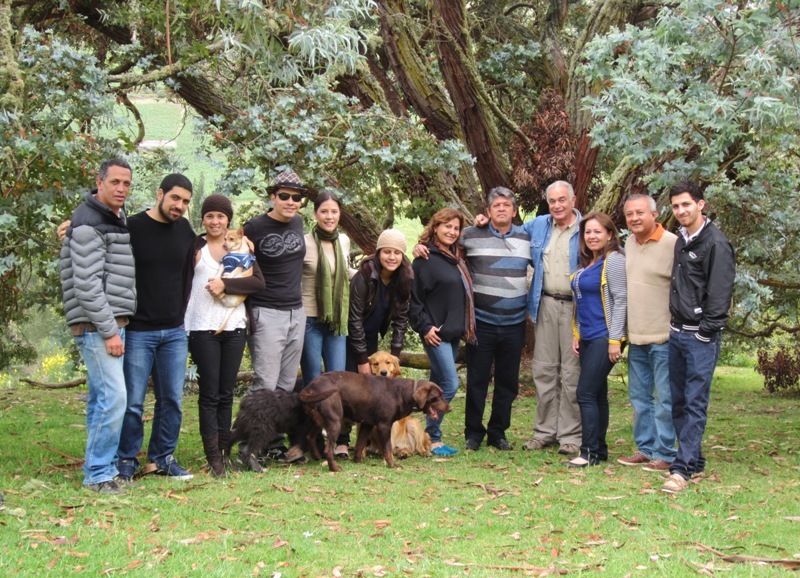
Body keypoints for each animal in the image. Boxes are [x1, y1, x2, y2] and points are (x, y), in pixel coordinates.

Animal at [300, 372, 450, 470]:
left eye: (442, 395)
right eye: (437, 397)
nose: (450, 408)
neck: (404, 393)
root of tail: (310, 387)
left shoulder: (367, 424)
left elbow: (360, 445)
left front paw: (357, 461)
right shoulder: (384, 425)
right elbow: (388, 449)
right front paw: (392, 465)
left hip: (318, 420)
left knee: (309, 436)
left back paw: (316, 456)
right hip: (335, 421)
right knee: (328, 449)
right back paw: (334, 468)